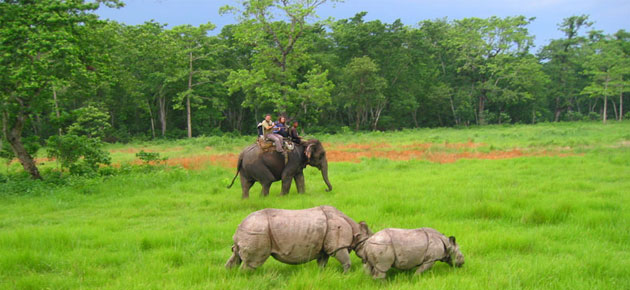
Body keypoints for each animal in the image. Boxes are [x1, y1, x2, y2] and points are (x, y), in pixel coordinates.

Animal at [227, 204, 376, 272]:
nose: (367, 260)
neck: (357, 232)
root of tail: (240, 226)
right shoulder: (338, 246)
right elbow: (346, 261)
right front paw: (346, 275)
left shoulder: (324, 247)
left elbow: (322, 262)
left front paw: (321, 274)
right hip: (257, 231)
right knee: (252, 262)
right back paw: (247, 276)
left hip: (250, 230)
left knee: (236, 255)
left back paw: (231, 273)